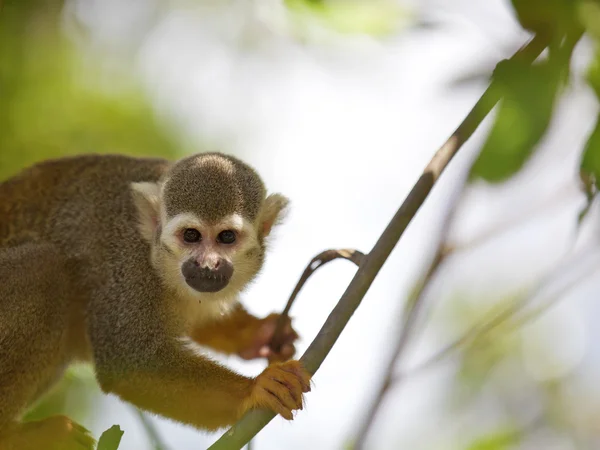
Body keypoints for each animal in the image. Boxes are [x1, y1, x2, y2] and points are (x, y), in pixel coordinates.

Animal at [0, 153, 310, 448]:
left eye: (227, 237)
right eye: (191, 235)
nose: (207, 265)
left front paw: (256, 334)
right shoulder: (128, 264)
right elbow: (129, 363)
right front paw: (255, 389)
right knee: (44, 269)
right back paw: (12, 436)